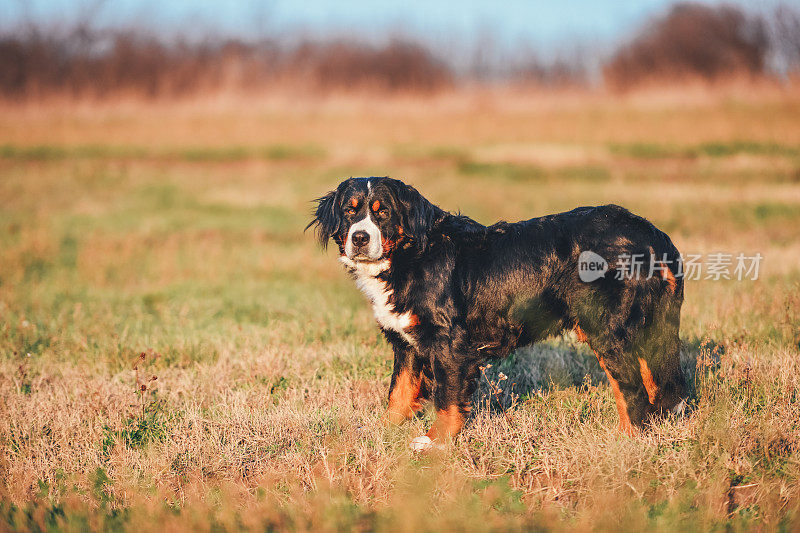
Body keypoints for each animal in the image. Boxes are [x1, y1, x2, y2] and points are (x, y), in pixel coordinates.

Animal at [306, 178, 688, 448]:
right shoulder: (407, 344)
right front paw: (379, 433)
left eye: (382, 212)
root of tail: (652, 235)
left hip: (606, 329)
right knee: (655, 382)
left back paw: (626, 441)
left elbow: (447, 400)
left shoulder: (449, 344)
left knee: (632, 388)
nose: (359, 238)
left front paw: (435, 443)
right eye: (350, 211)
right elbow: (398, 394)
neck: (411, 255)